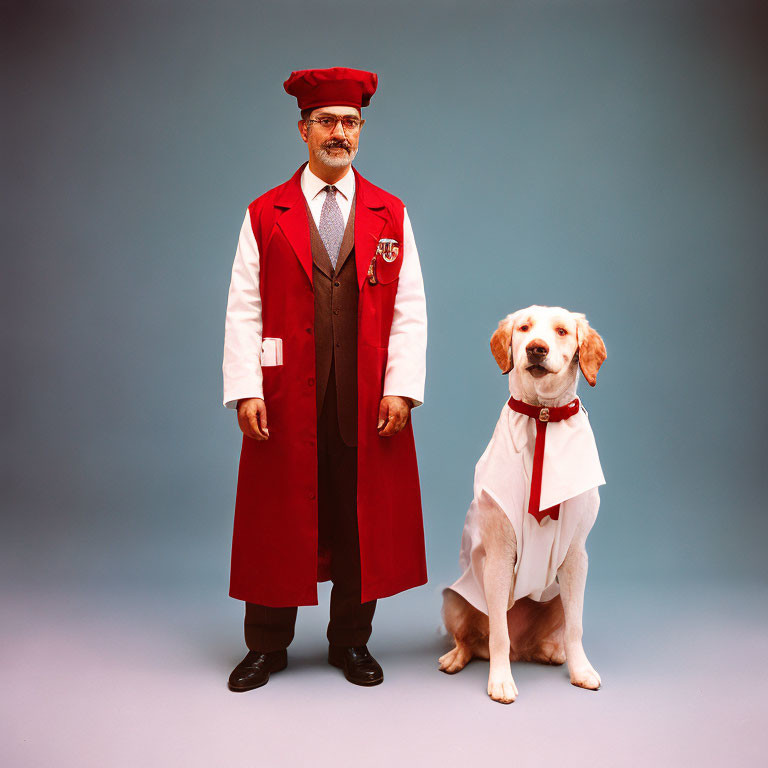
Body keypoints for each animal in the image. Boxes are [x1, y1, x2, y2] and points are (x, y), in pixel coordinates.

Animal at [438, 304, 608, 704]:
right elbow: (499, 631)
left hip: (559, 596)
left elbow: (576, 628)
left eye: (561, 331)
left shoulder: (577, 556)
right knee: (474, 639)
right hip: (454, 599)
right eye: (525, 328)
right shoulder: (500, 557)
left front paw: (581, 670)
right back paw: (457, 657)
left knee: (546, 636)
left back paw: (549, 651)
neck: (542, 415)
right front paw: (500, 681)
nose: (535, 349)